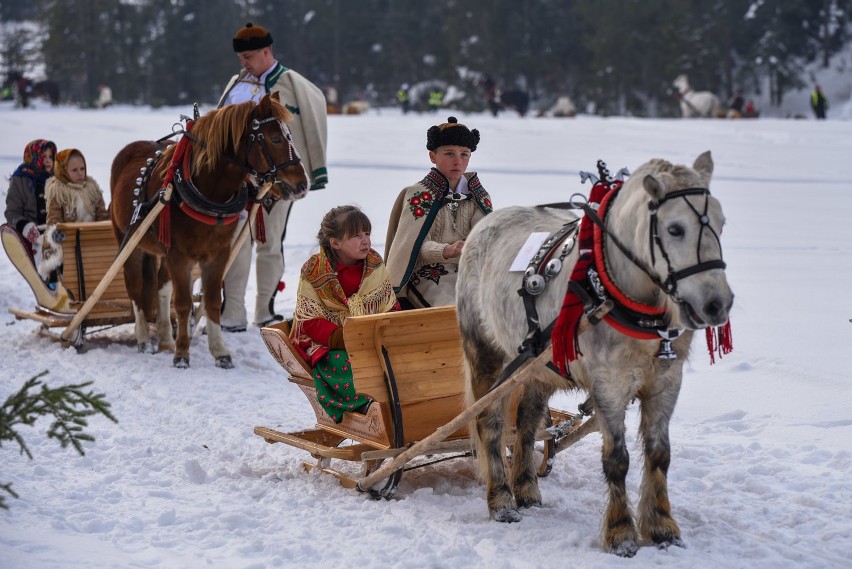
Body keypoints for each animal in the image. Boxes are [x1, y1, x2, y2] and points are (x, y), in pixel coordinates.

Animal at [111, 93, 306, 368]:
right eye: (276, 138)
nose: (302, 184)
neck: (209, 193)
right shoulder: (179, 255)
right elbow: (182, 303)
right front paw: (182, 354)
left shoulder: (218, 254)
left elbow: (212, 301)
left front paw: (220, 351)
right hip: (130, 242)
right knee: (135, 288)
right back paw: (143, 339)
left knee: (161, 289)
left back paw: (165, 338)